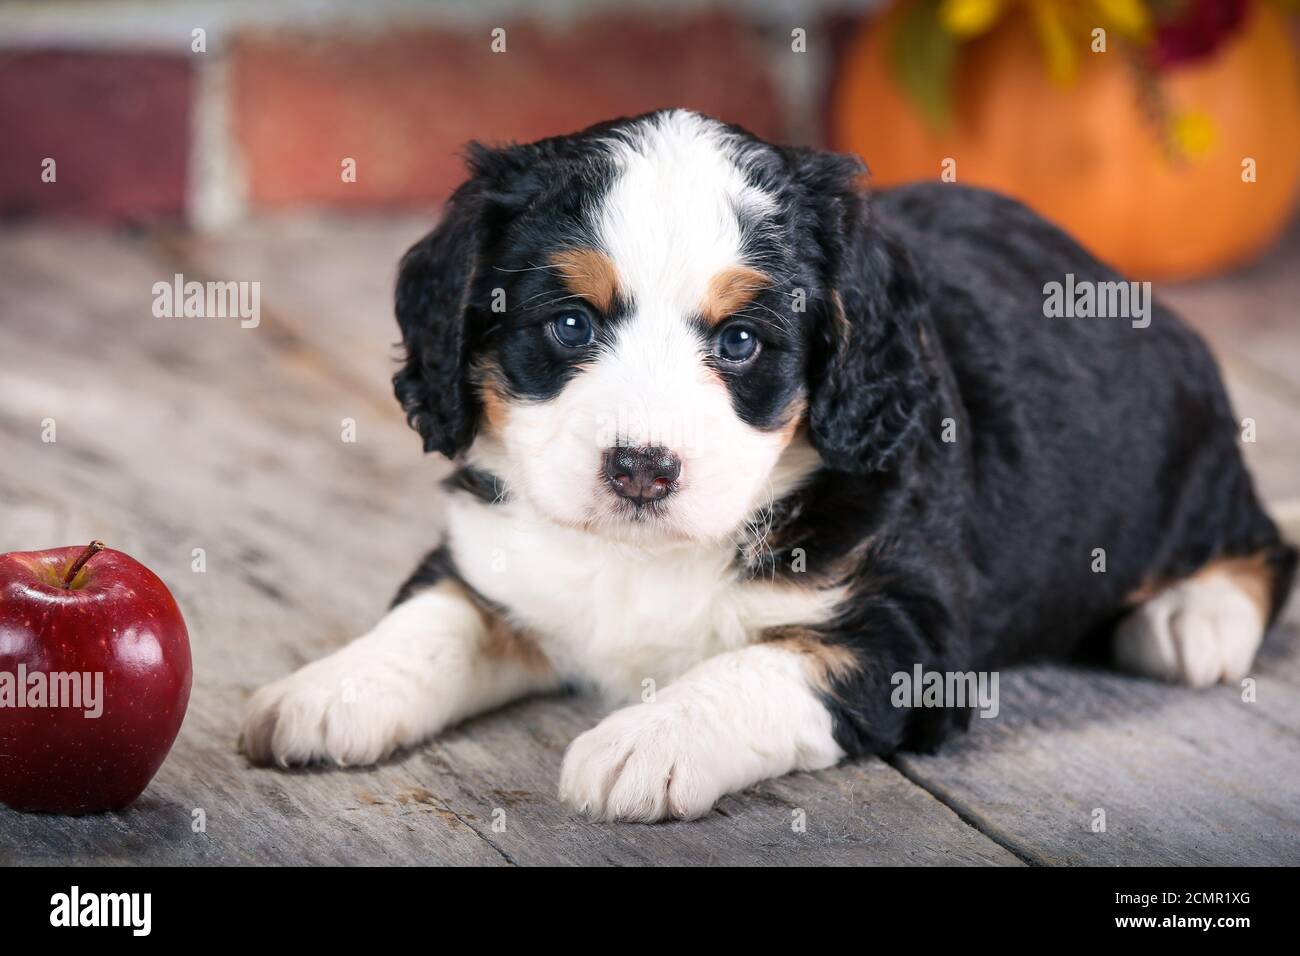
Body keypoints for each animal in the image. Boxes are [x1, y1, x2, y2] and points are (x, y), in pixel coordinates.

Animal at [239, 106, 1294, 822]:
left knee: (1263, 543)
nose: (640, 468)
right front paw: (329, 689)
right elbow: (436, 615)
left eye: (741, 343)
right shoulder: (493, 553)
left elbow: (763, 664)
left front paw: (648, 738)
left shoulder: (906, 636)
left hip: (1175, 472)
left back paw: (1193, 617)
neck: (646, 556)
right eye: (569, 324)